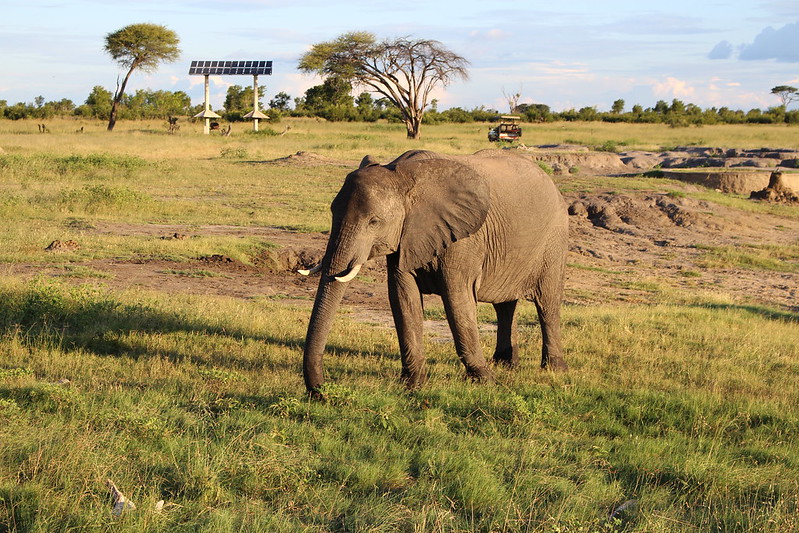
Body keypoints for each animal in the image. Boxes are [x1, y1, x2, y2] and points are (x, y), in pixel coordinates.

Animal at [300, 148, 568, 392]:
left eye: (374, 222)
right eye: (332, 212)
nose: (321, 392)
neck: (403, 175)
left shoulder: (464, 240)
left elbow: (458, 301)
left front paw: (485, 380)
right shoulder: (405, 237)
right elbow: (403, 299)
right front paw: (413, 385)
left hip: (554, 238)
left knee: (547, 303)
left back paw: (554, 369)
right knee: (504, 305)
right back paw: (505, 363)